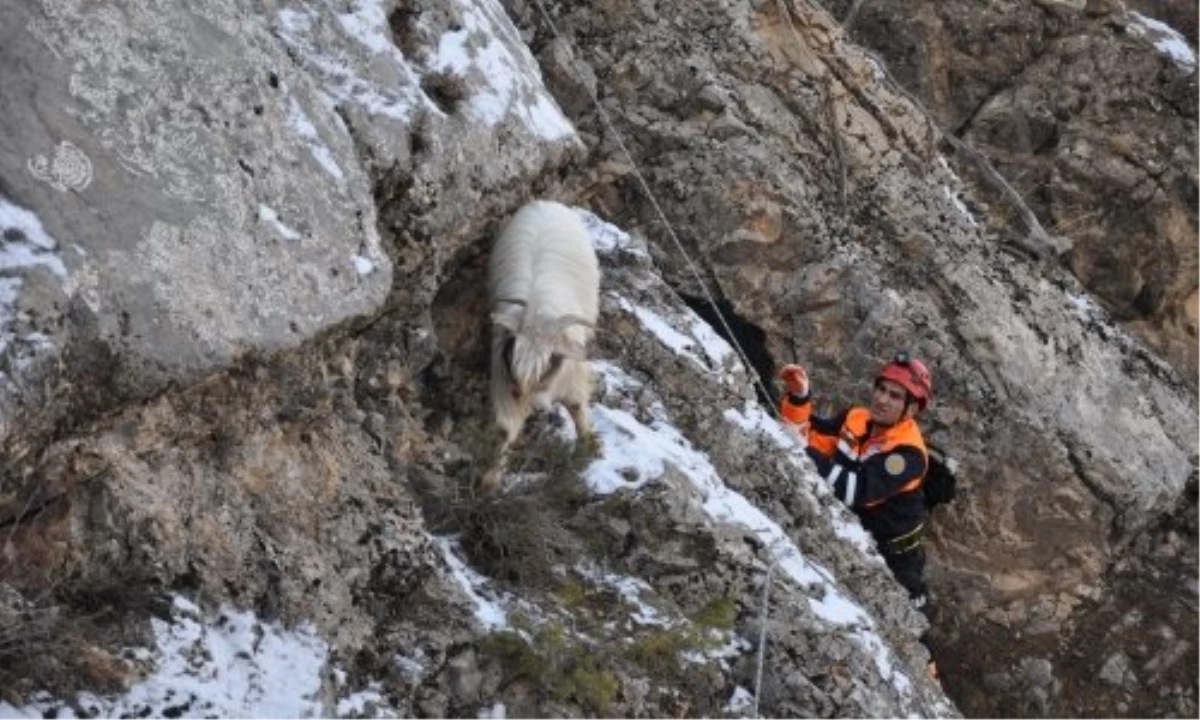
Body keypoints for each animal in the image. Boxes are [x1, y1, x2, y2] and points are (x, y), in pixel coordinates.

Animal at [482, 199, 600, 487]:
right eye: (512, 352)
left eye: (548, 359)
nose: (534, 406)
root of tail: (545, 203)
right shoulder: (503, 378)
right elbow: (504, 429)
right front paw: (490, 479)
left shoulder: (570, 374)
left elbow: (577, 406)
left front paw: (588, 445)